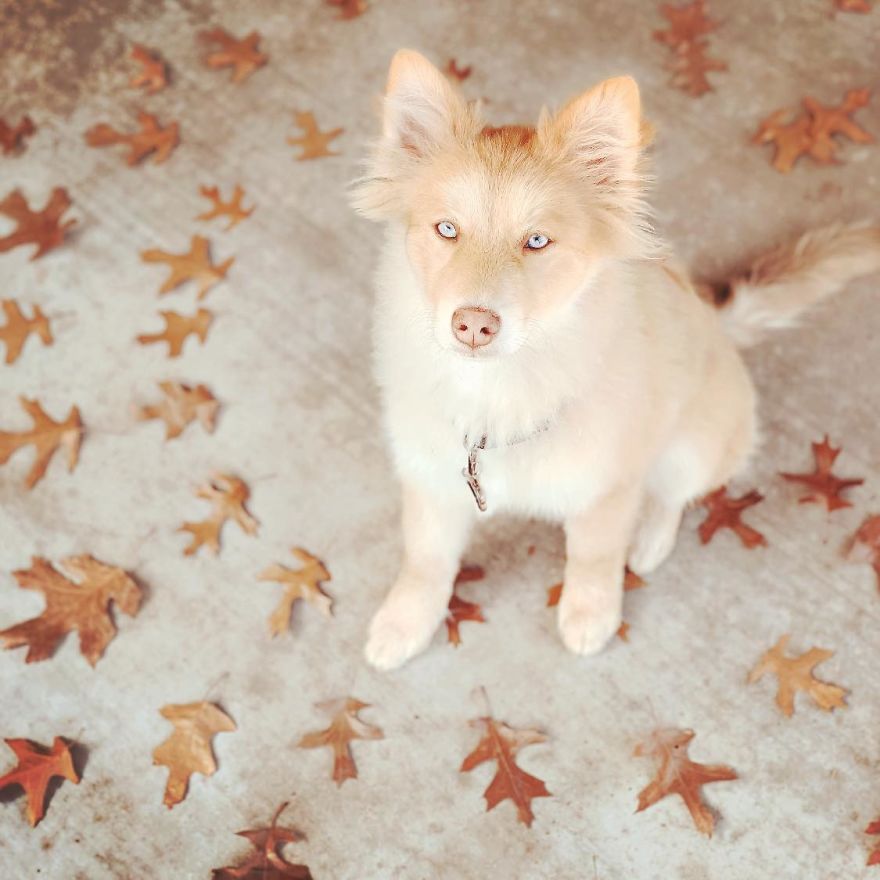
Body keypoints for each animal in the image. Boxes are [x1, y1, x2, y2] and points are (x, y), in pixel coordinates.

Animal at [351, 49, 880, 670]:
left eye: (537, 242)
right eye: (447, 229)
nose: (473, 324)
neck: (501, 391)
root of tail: (717, 320)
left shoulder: (607, 490)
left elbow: (594, 561)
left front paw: (590, 615)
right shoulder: (432, 482)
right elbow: (426, 561)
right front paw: (405, 621)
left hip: (694, 447)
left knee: (673, 497)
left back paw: (649, 540)